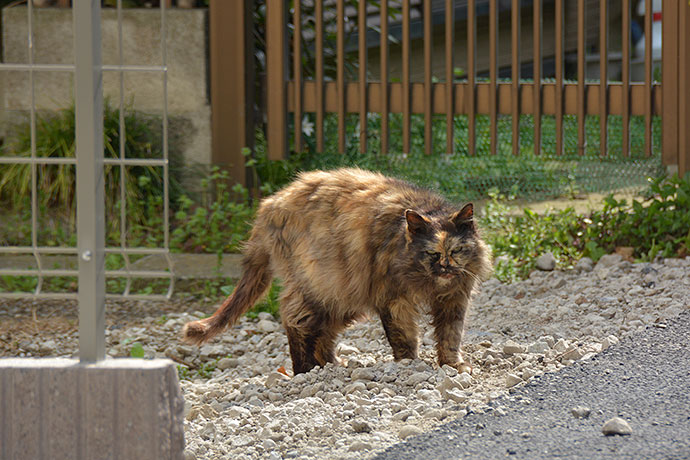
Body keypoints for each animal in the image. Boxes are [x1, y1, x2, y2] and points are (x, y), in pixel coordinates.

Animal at [183, 168, 492, 374]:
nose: (446, 267)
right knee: (294, 320)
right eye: (431, 253)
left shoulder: (454, 300)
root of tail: (270, 204)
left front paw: (453, 365)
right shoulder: (393, 299)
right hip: (320, 286)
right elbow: (404, 337)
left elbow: (450, 335)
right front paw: (408, 365)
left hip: (341, 298)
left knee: (322, 332)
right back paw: (306, 370)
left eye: (457, 250)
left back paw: (330, 365)